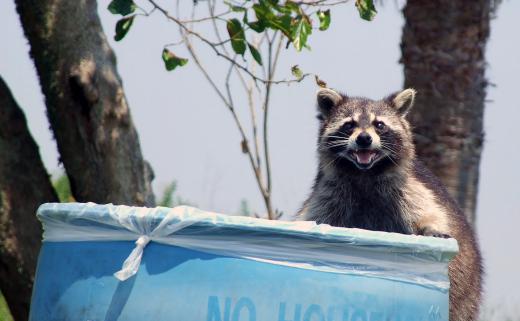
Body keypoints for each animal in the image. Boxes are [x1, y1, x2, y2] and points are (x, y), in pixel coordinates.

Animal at [300, 87, 484, 320]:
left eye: (379, 124)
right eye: (349, 124)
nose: (364, 138)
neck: (364, 173)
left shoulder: (409, 187)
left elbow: (430, 212)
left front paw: (431, 227)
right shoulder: (329, 192)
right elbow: (314, 215)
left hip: (464, 291)